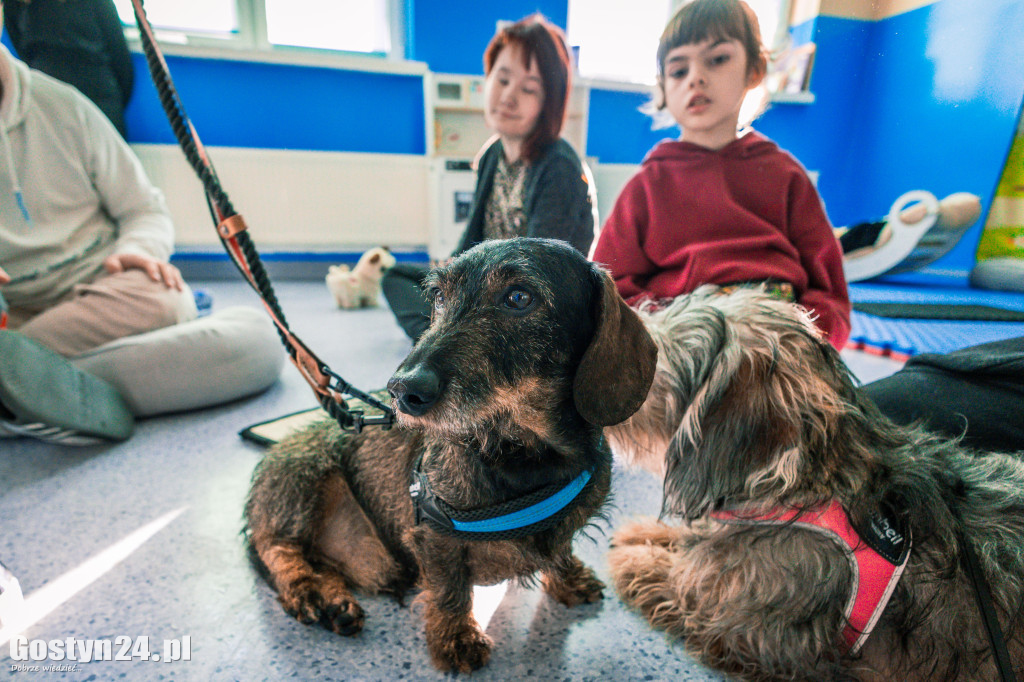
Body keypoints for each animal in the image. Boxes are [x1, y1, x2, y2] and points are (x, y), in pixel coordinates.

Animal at [242, 237, 655, 667]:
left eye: (519, 297)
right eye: (439, 296)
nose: (402, 390)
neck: (525, 457)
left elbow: (560, 549)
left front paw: (569, 578)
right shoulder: (433, 534)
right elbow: (449, 589)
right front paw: (456, 639)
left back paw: (333, 599)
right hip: (304, 474)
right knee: (279, 550)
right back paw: (311, 591)